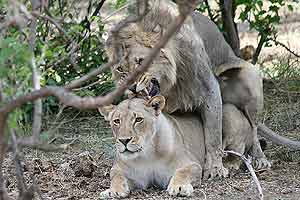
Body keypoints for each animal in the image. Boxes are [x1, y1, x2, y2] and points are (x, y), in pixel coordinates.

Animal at [98, 95, 260, 198]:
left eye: (138, 119)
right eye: (117, 121)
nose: (124, 140)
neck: (147, 154)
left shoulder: (192, 164)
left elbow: (182, 172)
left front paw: (179, 187)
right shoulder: (129, 174)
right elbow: (116, 176)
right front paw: (113, 191)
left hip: (226, 114)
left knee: (237, 153)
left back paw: (228, 166)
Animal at [105, 0, 270, 178]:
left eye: (141, 61)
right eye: (120, 69)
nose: (132, 87)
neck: (170, 83)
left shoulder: (209, 88)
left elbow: (213, 134)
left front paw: (215, 168)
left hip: (250, 78)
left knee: (253, 129)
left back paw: (260, 159)